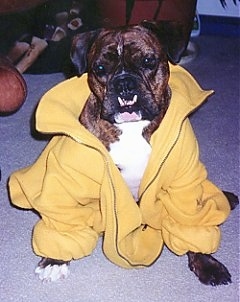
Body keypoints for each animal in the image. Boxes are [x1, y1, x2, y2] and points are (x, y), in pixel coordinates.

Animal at [11, 21, 238, 284]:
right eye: (100, 68)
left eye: (148, 61)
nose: (124, 84)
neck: (132, 129)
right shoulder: (68, 182)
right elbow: (62, 221)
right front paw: (54, 260)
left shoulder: (183, 186)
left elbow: (189, 221)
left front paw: (206, 261)